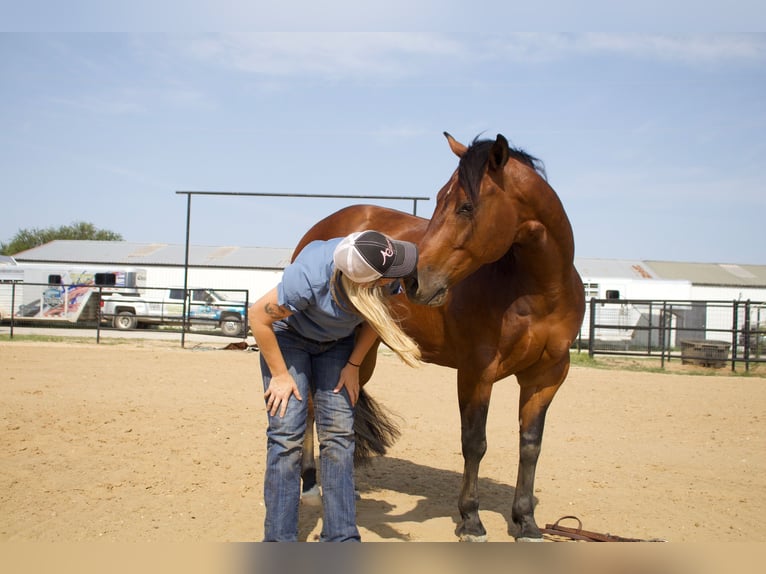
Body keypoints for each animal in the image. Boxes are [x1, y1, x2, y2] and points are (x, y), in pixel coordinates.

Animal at [292, 133, 584, 544]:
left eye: (466, 206)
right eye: (438, 200)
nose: (414, 281)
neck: (537, 292)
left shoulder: (547, 377)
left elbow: (530, 445)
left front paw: (526, 522)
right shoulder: (476, 372)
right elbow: (474, 443)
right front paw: (471, 520)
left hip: (363, 355)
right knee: (312, 408)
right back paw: (311, 485)